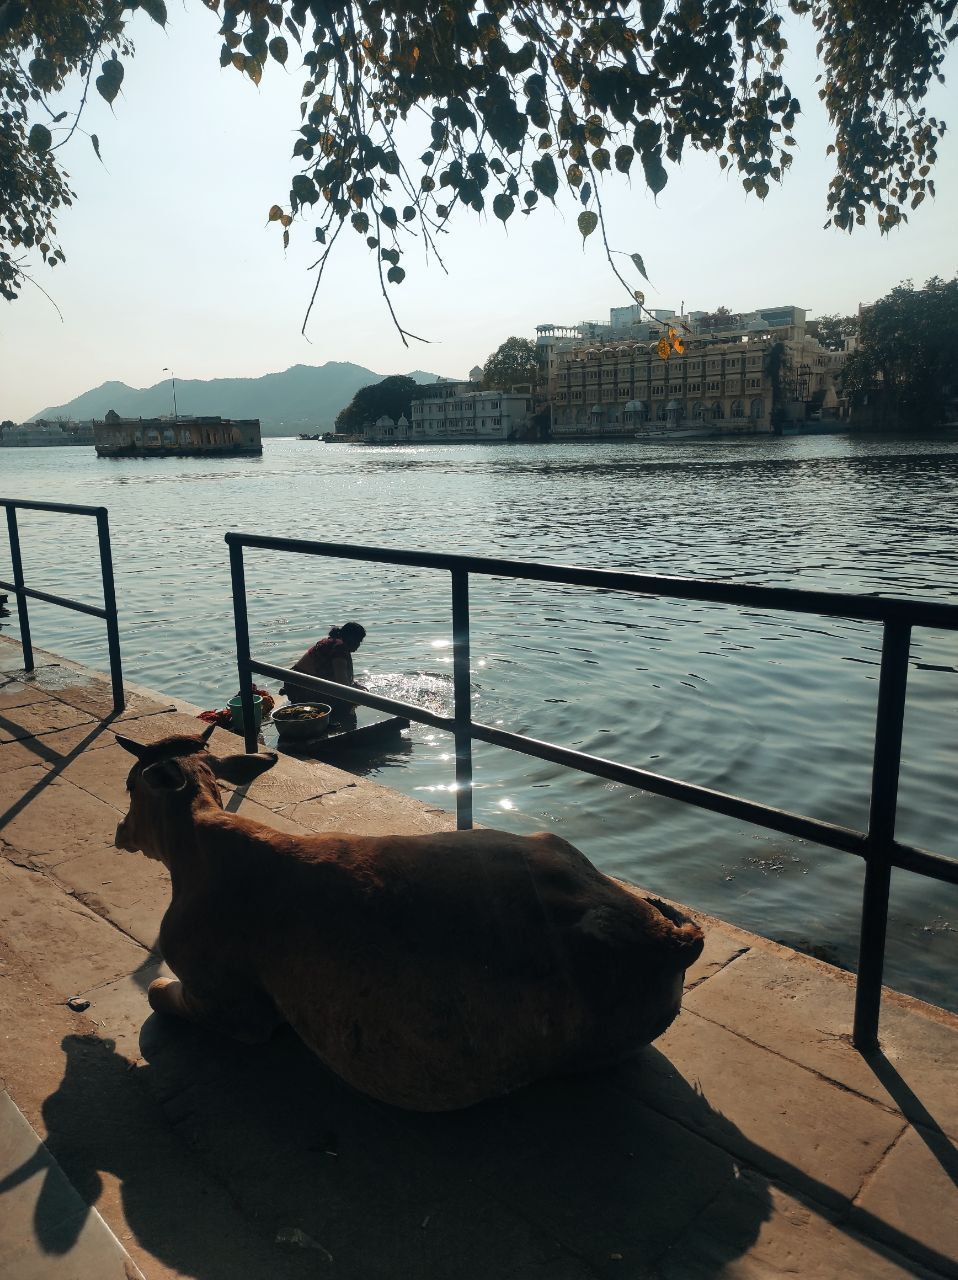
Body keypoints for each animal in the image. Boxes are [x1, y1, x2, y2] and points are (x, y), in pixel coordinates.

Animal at [114, 726, 705, 1111]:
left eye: (129, 784)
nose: (120, 830)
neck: (195, 848)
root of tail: (670, 941)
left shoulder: (232, 1003)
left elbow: (157, 995)